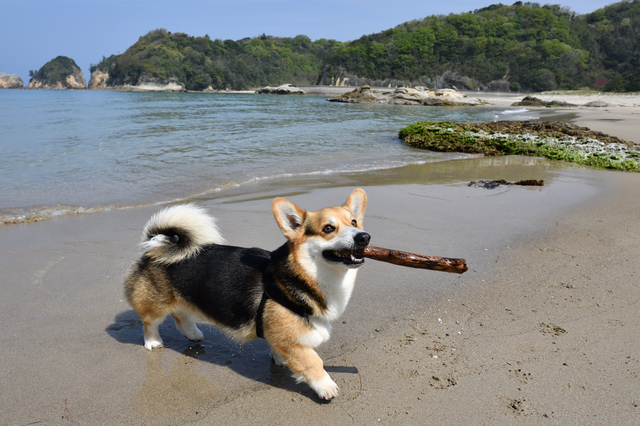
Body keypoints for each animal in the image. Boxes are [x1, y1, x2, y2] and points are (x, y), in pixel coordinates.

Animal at [124, 189, 370, 400]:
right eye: (328, 228)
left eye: (354, 222)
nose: (364, 237)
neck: (306, 276)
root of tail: (153, 247)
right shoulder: (293, 342)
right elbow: (313, 362)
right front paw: (326, 386)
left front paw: (278, 359)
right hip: (156, 305)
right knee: (150, 322)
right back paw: (154, 342)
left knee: (181, 315)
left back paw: (193, 334)